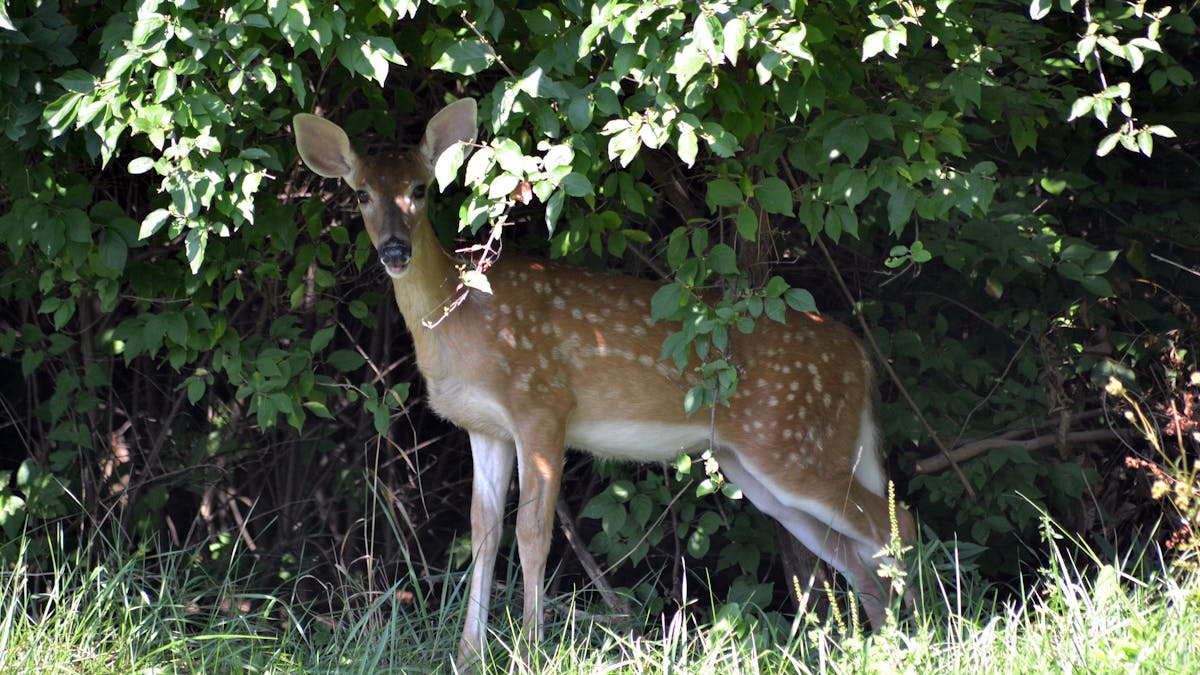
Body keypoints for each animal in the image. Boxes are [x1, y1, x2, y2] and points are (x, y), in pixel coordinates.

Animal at [293, 98, 916, 667]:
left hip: (792, 440)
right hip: (757, 465)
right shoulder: (485, 427)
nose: (395, 249)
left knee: (895, 523)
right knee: (857, 553)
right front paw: (468, 655)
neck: (462, 318)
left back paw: (921, 637)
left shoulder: (542, 404)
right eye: (361, 194)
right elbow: (483, 534)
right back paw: (878, 644)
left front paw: (529, 651)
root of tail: (859, 356)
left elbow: (533, 534)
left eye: (420, 190)